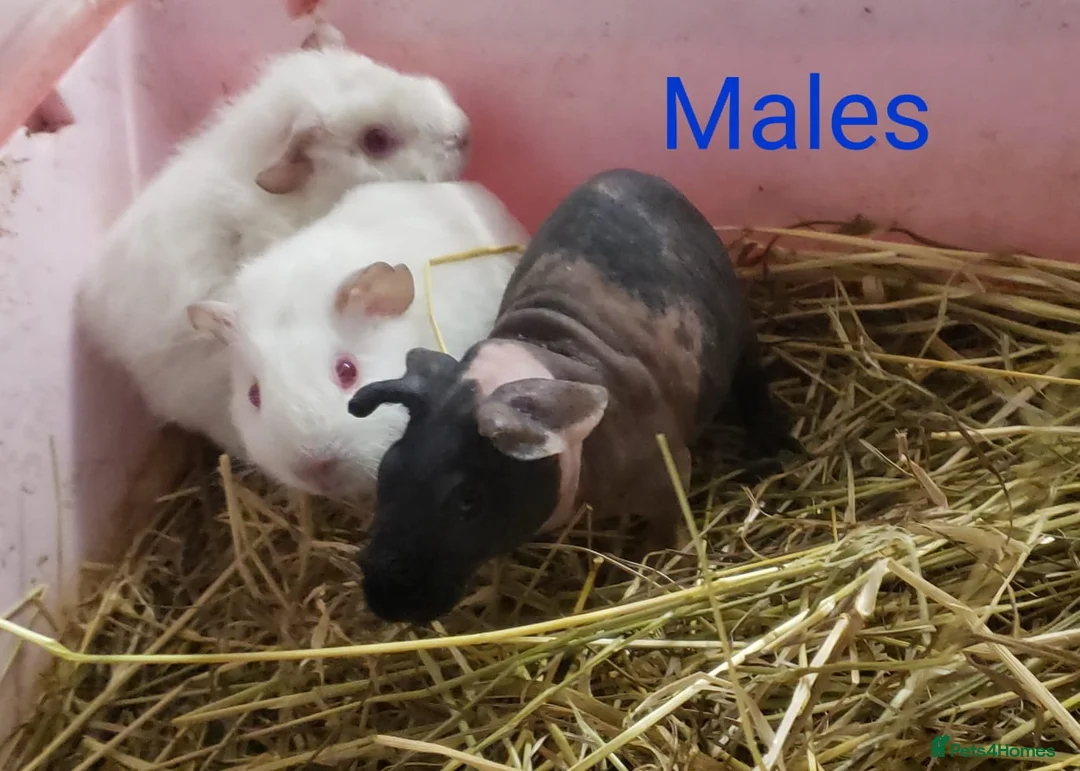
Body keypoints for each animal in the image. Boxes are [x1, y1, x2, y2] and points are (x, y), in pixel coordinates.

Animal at [347, 168, 800, 624]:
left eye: (467, 499)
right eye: (388, 469)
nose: (385, 602)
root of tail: (632, 175)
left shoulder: (666, 473)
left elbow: (666, 527)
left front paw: (656, 564)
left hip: (741, 340)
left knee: (753, 384)